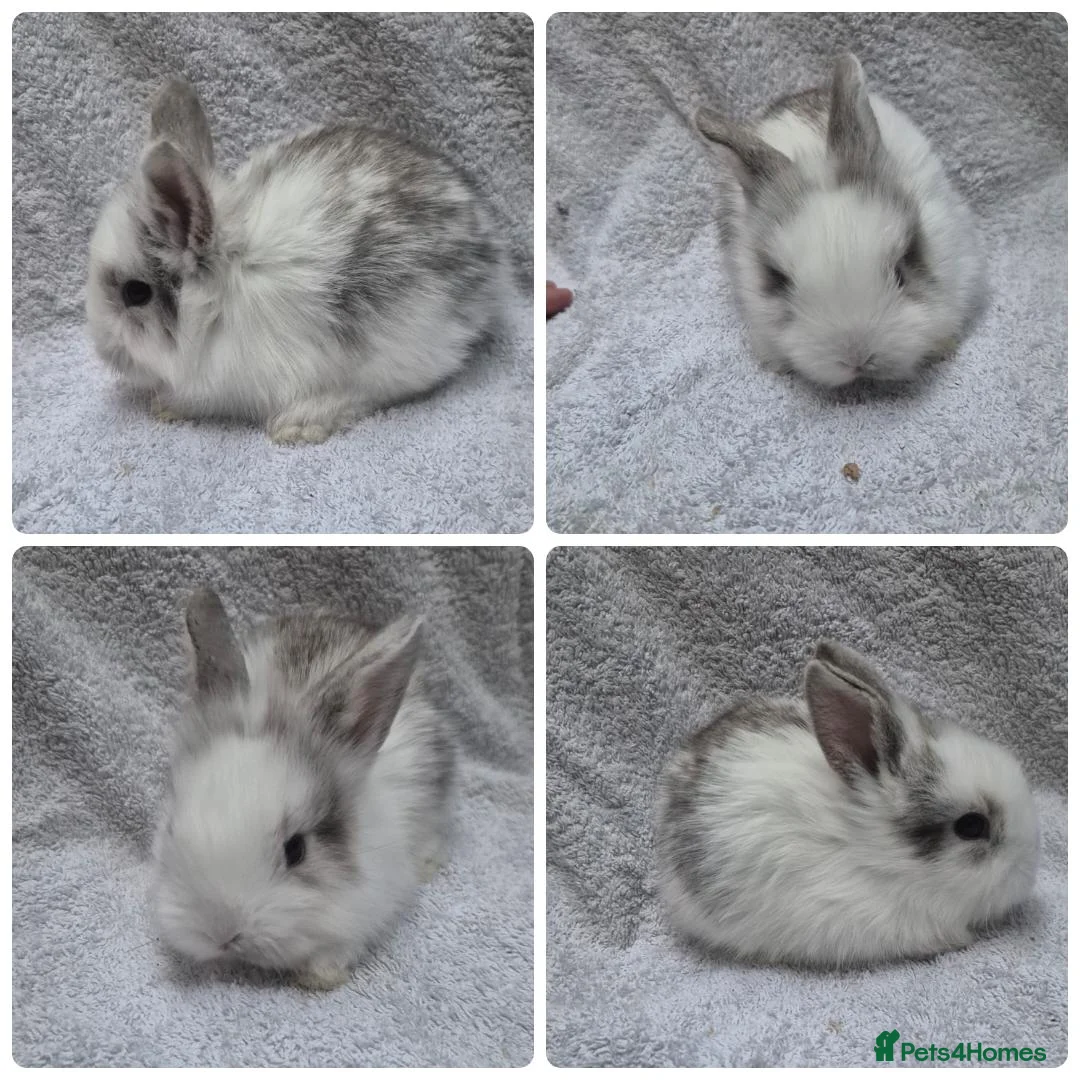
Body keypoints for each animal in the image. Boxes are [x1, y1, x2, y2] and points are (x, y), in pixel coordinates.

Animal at [86, 79, 507, 443]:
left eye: (135, 293)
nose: (104, 350)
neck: (222, 293)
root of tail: (490, 250)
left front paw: (166, 407)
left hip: (402, 346)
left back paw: (300, 423)